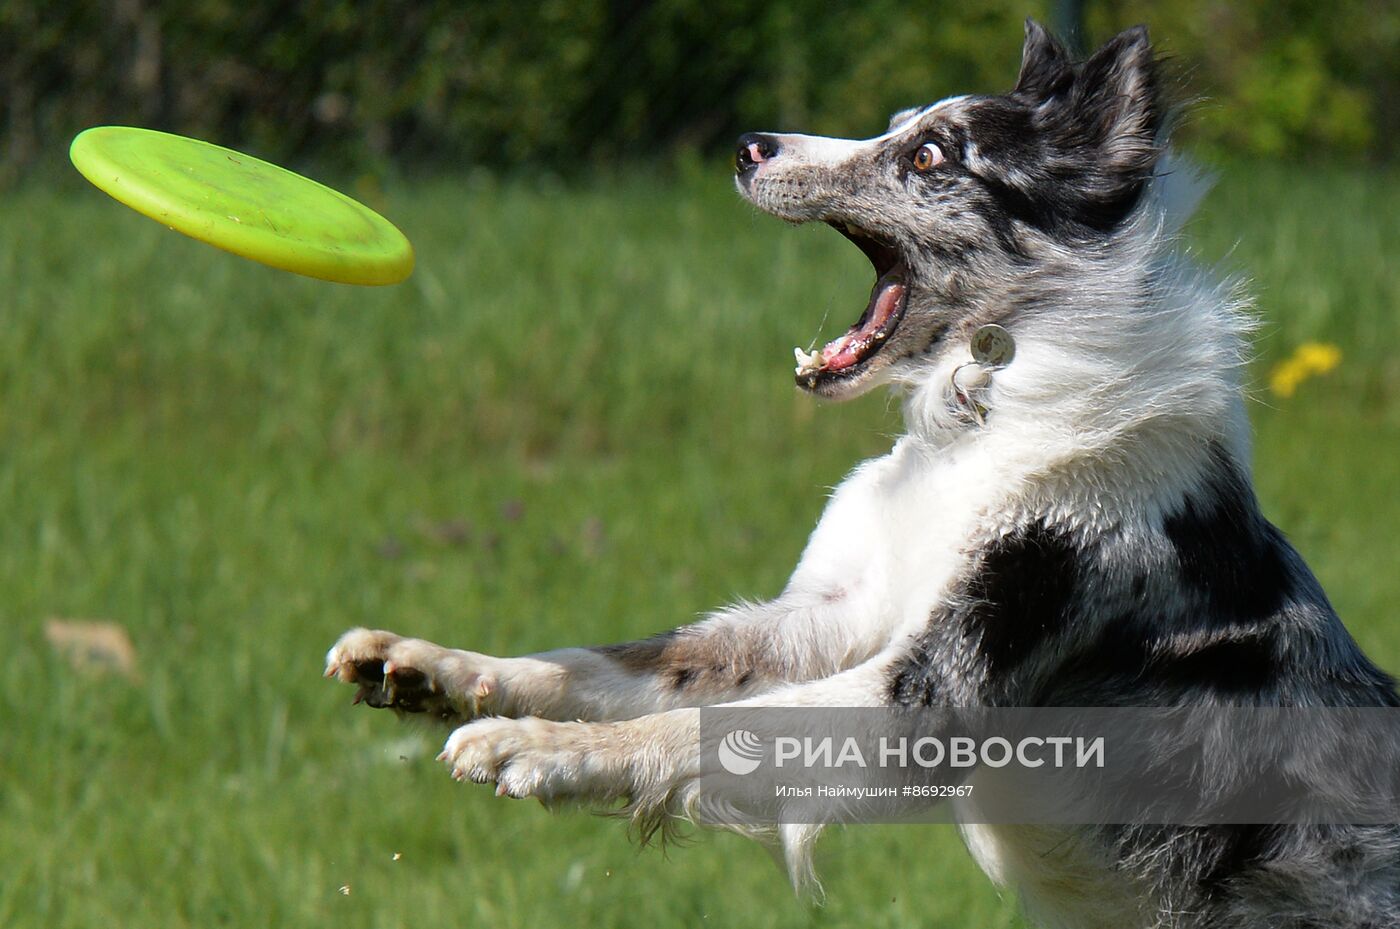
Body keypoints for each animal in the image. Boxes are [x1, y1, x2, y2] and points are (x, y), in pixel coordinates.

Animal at [324, 21, 1400, 929]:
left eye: (928, 156)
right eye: (892, 127)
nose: (748, 144)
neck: (982, 413)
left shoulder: (928, 687)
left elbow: (695, 728)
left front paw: (537, 749)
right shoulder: (827, 614)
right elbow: (623, 666)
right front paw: (435, 666)